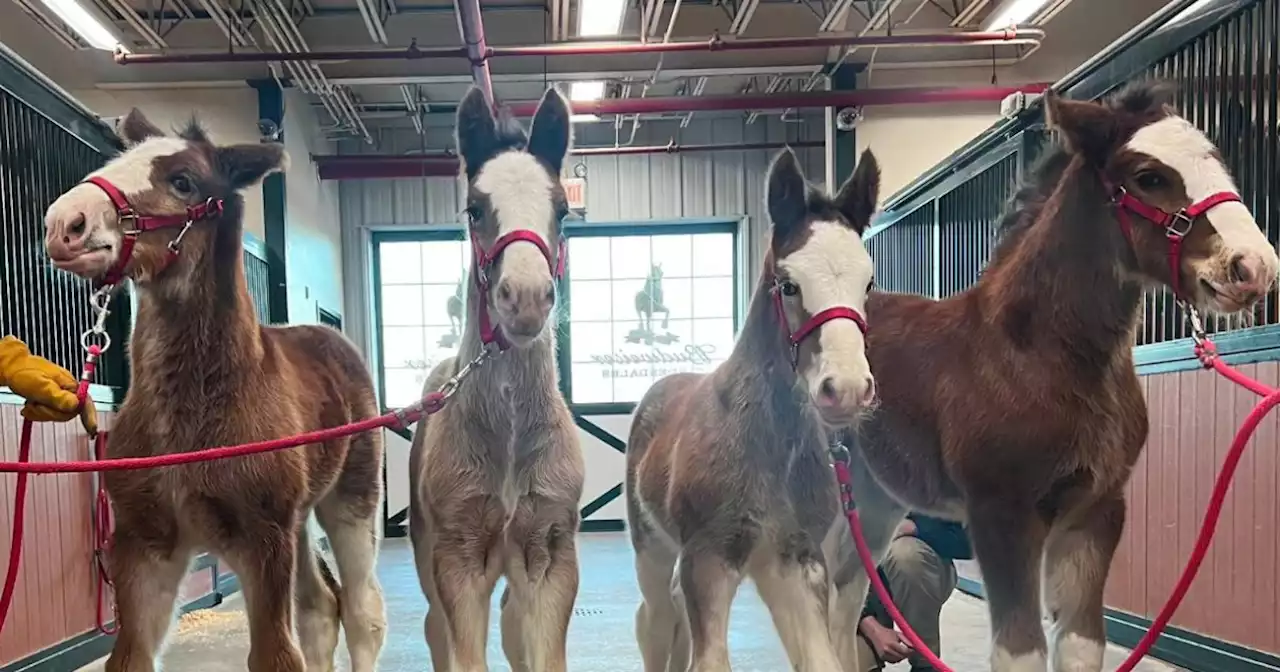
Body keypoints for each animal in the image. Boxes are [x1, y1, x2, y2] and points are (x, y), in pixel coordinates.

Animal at [409, 83, 586, 670]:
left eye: (562, 210)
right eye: (474, 208)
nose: (525, 299)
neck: (508, 439)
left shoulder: (550, 556)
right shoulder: (458, 562)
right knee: (435, 633)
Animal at [627, 147, 880, 670]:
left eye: (867, 282)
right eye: (788, 285)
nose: (846, 388)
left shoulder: (796, 561)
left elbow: (821, 659)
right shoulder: (708, 559)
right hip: (652, 550)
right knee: (656, 622)